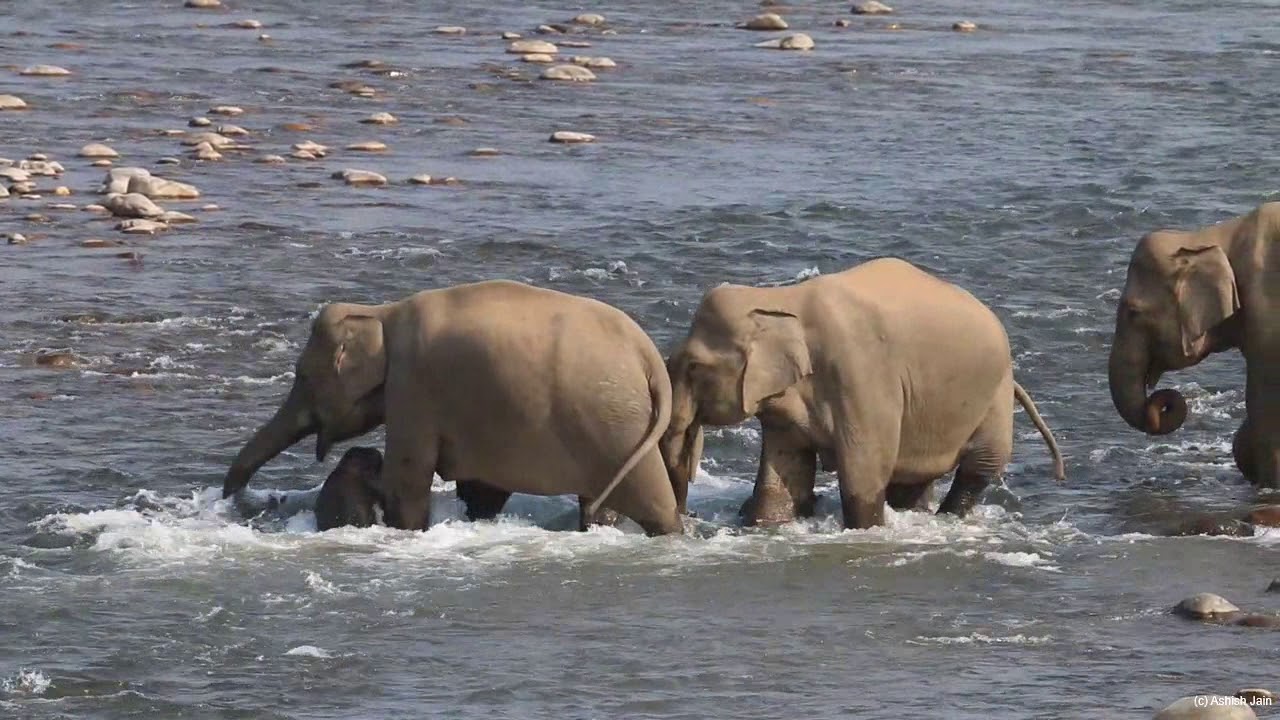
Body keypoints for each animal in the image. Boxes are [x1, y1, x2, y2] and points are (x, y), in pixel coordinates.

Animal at [222, 279, 684, 535]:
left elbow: (408, 476)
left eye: (302, 376)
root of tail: (648, 356)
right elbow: (482, 489)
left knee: (653, 502)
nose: (237, 498)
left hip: (614, 426)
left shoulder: (413, 386)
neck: (381, 313)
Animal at [660, 257, 1066, 530]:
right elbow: (783, 471)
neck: (780, 299)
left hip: (994, 396)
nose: (688, 515)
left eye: (693, 366)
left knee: (978, 468)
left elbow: (864, 471)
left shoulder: (861, 372)